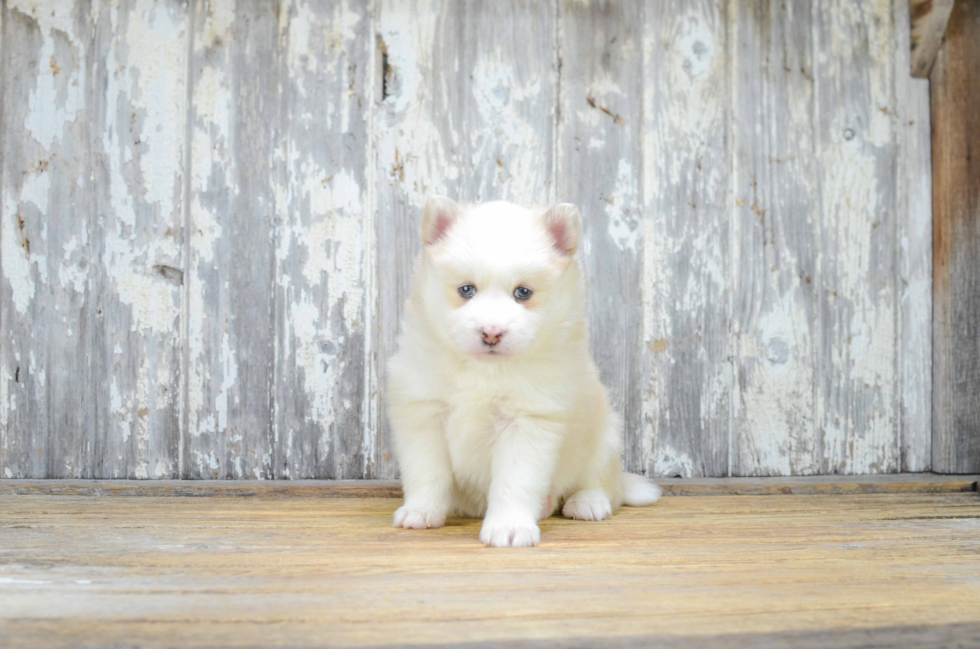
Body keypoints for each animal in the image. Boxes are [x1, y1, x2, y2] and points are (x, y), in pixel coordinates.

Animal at [384, 195, 660, 544]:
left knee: (604, 484)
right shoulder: (423, 412)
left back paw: (587, 502)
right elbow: (427, 471)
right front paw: (421, 511)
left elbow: (514, 482)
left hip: (605, 437)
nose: (491, 333)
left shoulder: (527, 421)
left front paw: (509, 526)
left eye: (523, 292)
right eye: (466, 290)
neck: (484, 370)